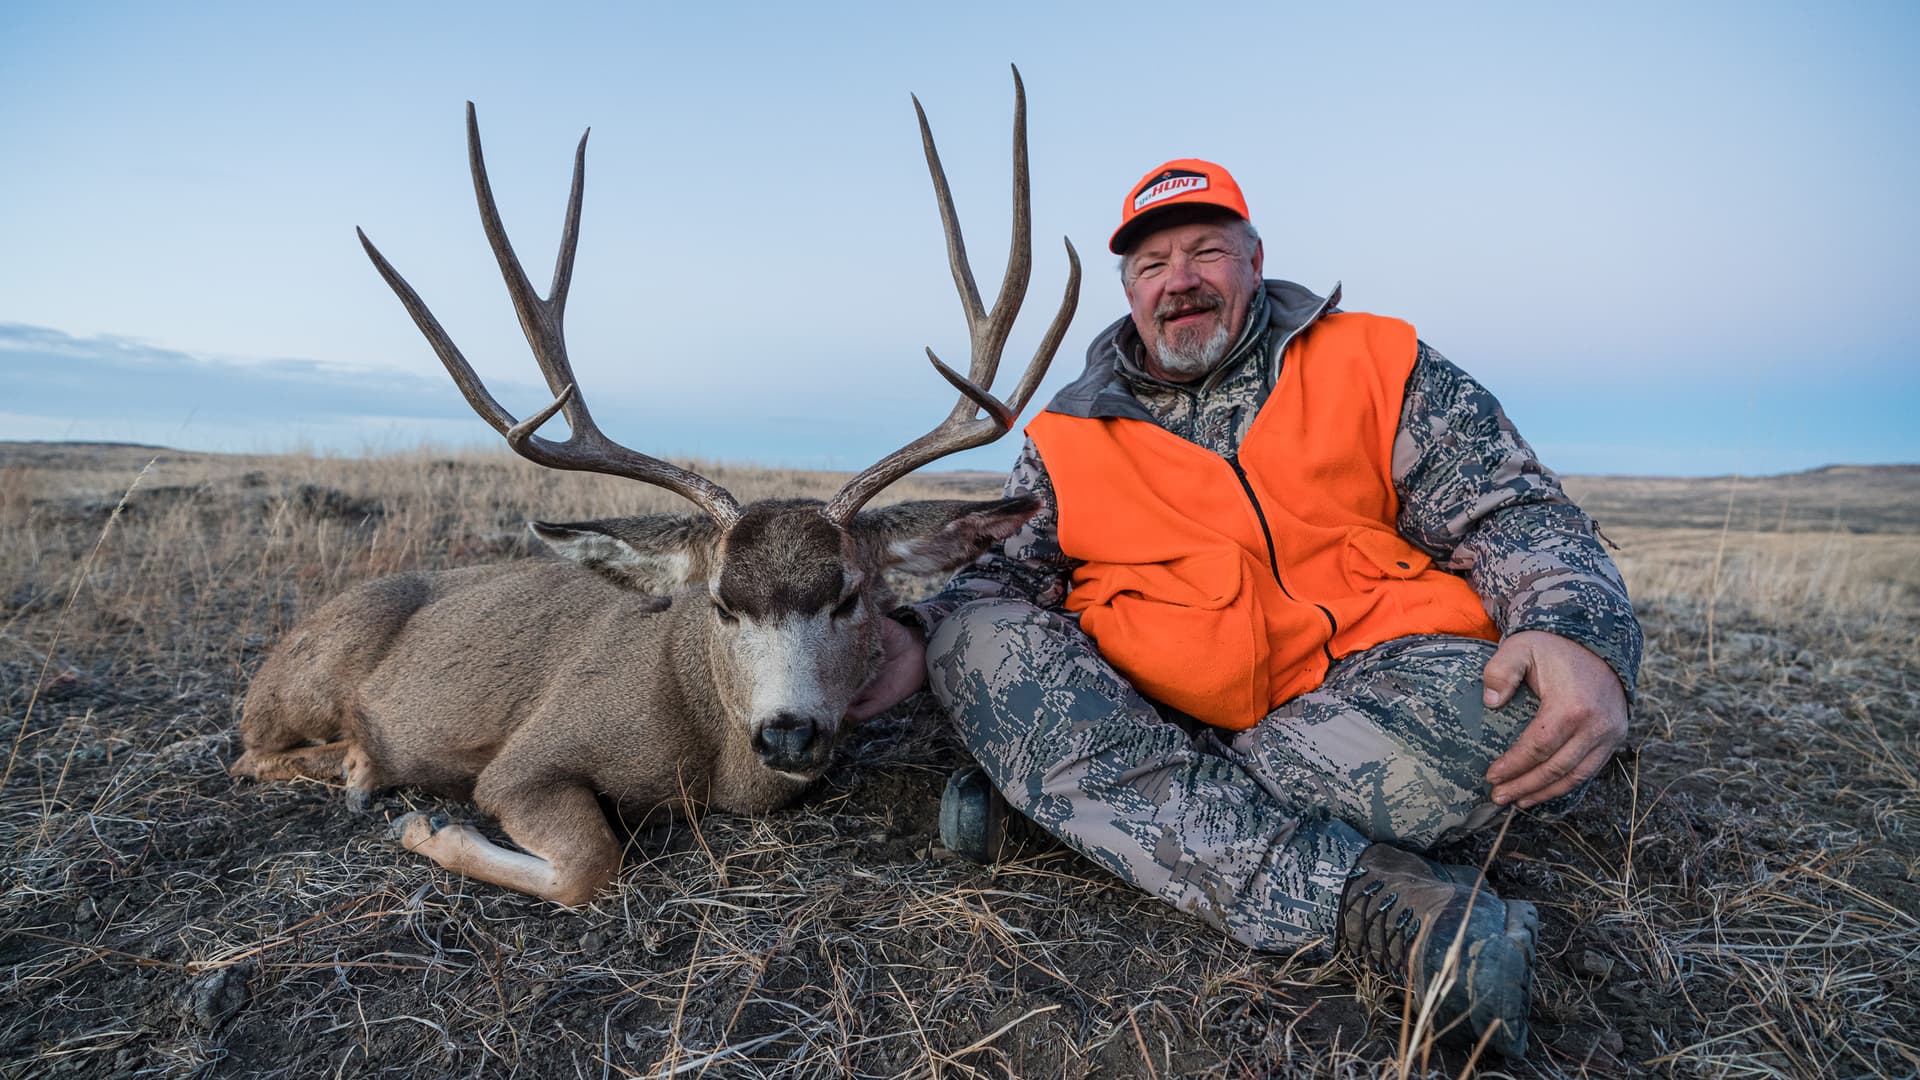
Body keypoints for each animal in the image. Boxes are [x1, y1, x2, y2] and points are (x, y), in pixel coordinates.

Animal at [230, 68, 1080, 906]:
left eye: (849, 597)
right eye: (722, 604)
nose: (788, 731)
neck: (707, 748)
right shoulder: (526, 758)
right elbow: (588, 863)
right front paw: (427, 828)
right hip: (308, 682)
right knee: (250, 751)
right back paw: (359, 767)